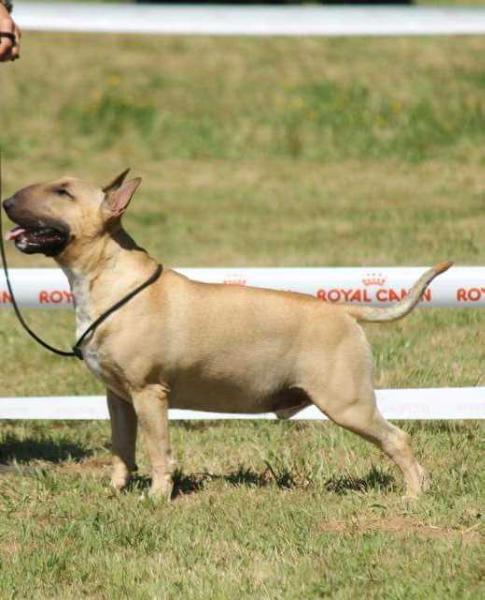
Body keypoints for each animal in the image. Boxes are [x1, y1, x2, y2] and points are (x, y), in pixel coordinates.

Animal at [2, 171, 450, 500]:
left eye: (62, 191)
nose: (5, 202)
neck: (108, 276)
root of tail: (344, 309)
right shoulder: (119, 397)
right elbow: (122, 448)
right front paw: (115, 491)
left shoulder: (149, 393)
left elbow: (158, 450)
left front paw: (157, 497)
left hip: (347, 402)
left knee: (398, 438)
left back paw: (414, 493)